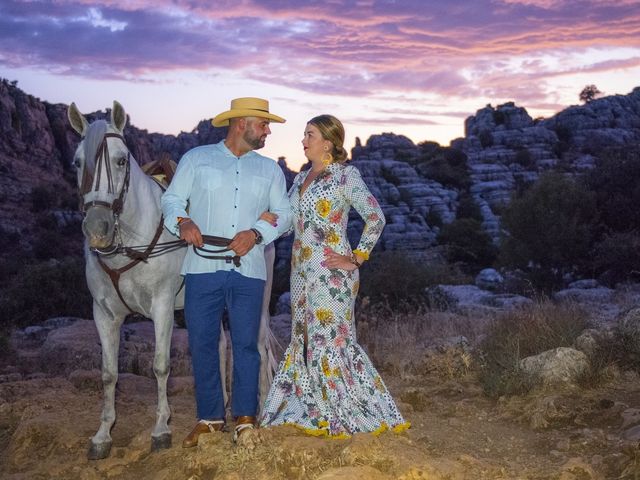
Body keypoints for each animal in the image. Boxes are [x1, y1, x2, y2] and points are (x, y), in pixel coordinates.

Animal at [68, 102, 278, 462]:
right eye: (78, 161)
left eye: (121, 160)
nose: (97, 229)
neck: (130, 245)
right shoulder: (104, 314)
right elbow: (109, 374)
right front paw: (102, 435)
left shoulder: (163, 307)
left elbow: (160, 366)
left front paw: (161, 430)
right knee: (220, 344)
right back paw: (220, 413)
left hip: (259, 303)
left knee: (260, 348)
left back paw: (259, 410)